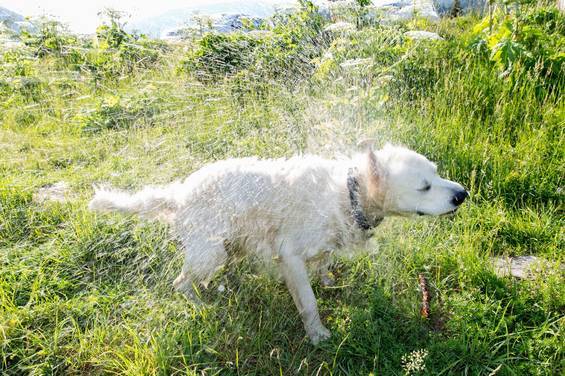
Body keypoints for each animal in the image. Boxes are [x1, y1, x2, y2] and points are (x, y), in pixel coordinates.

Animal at [89, 144, 468, 344]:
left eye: (437, 173)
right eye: (424, 186)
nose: (462, 194)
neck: (349, 194)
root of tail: (180, 194)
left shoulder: (324, 244)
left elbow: (325, 263)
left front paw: (329, 281)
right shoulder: (290, 256)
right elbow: (309, 303)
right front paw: (318, 335)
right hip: (210, 251)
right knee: (181, 283)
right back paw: (202, 306)